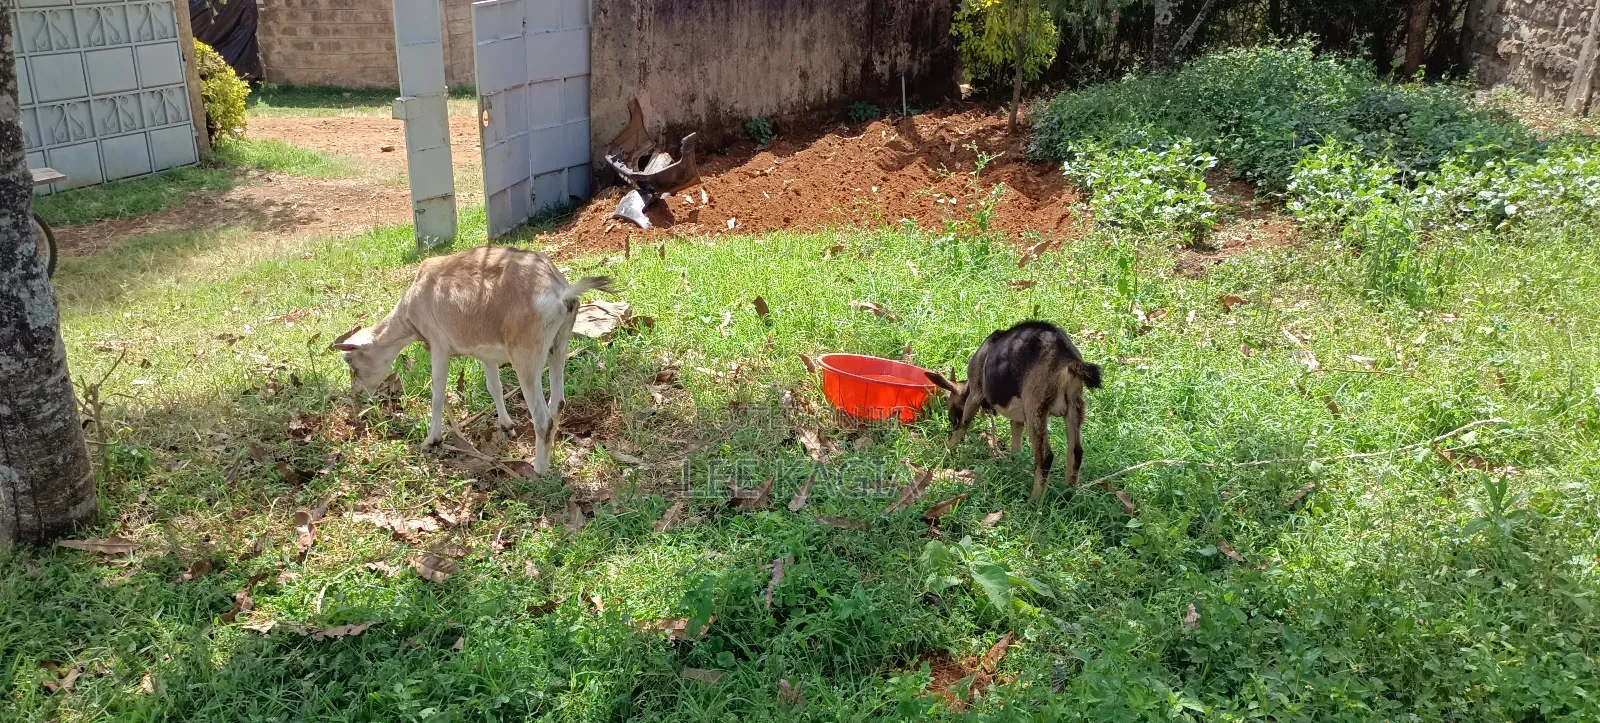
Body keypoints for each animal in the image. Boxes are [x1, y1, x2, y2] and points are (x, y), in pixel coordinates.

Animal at [331, 246, 610, 474]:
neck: (412, 306)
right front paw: (507, 427)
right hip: (559, 344)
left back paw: (538, 470)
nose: (357, 396)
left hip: (526, 354)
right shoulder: (487, 354)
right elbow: (494, 387)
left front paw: (432, 441)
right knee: (558, 402)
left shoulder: (438, 345)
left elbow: (437, 392)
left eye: (350, 361)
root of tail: (560, 290)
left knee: (542, 418)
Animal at [925, 321, 1103, 503]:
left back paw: (1033, 502)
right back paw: (1069, 494)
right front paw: (1013, 469)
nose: (950, 422)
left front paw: (944, 451)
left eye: (948, 401)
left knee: (1045, 456)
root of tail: (1067, 359)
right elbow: (1016, 447)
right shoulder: (1018, 418)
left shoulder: (975, 392)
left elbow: (963, 425)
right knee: (1076, 451)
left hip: (1035, 406)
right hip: (1075, 404)